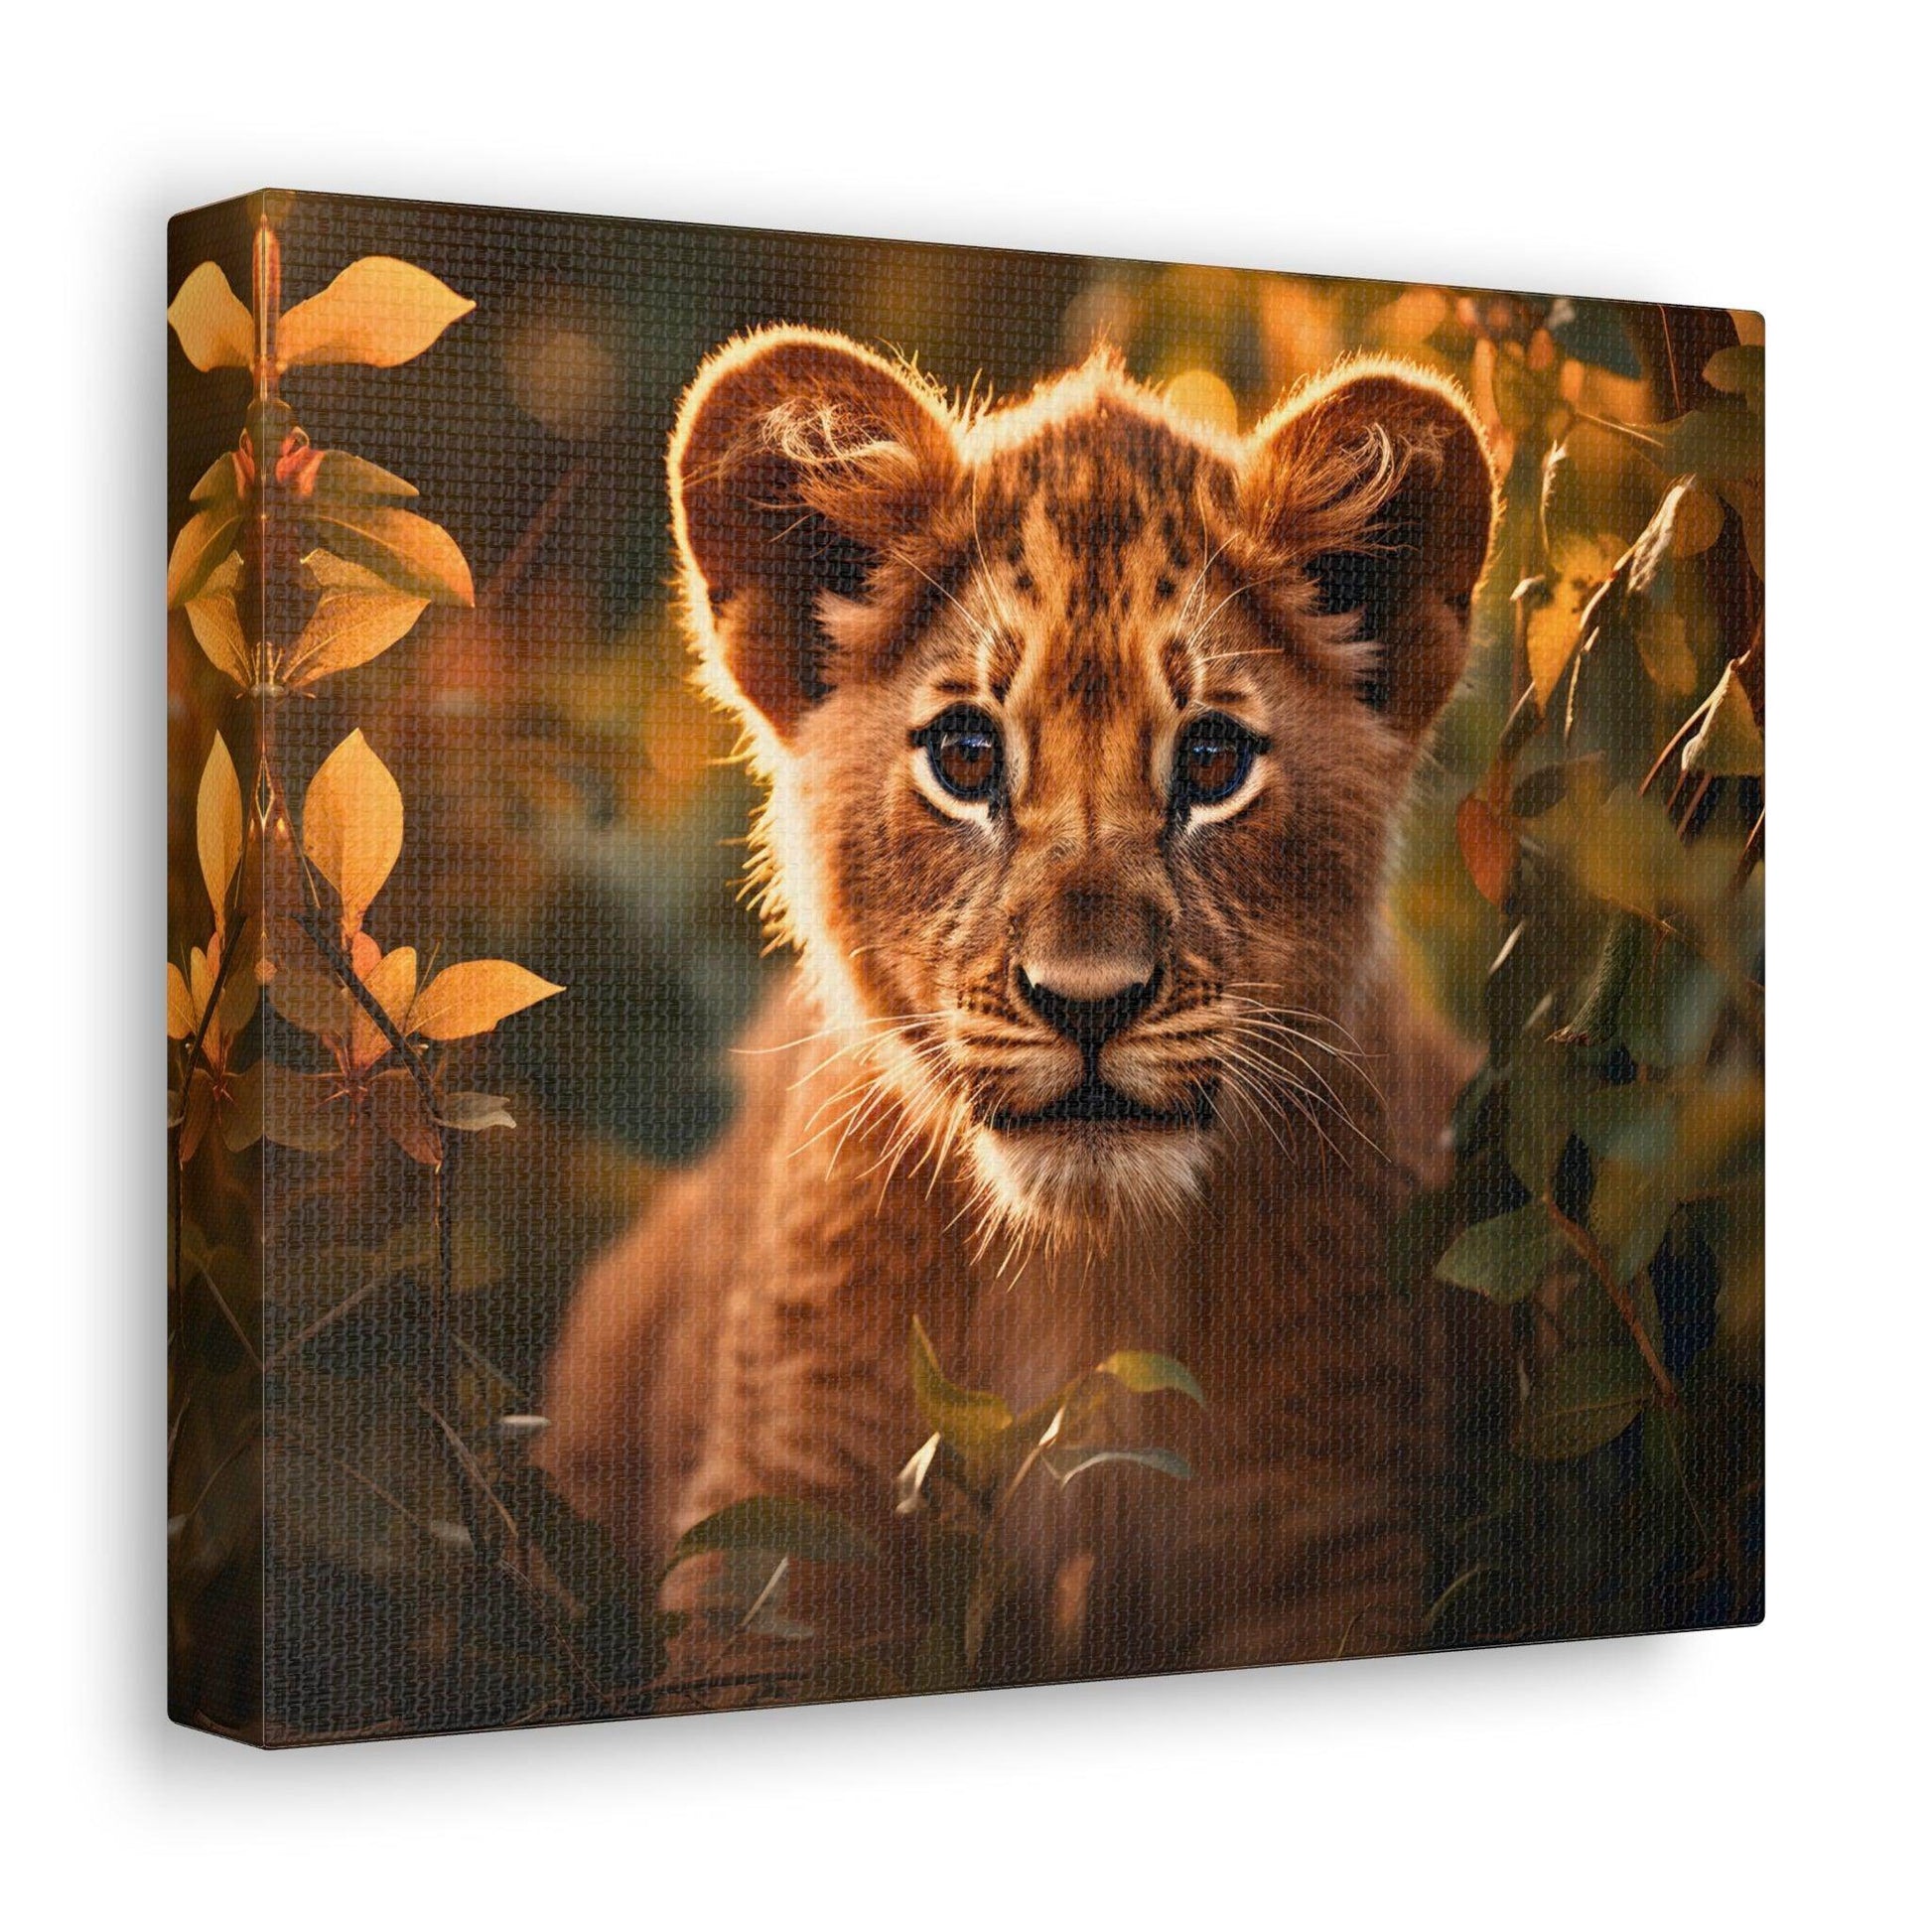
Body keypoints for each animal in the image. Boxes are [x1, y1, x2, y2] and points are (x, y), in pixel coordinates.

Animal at [537, 325, 1499, 1685]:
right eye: (966, 756)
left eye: (1211, 761)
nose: (1086, 1004)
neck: (1082, 1273)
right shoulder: (784, 1531)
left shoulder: (1327, 1535)